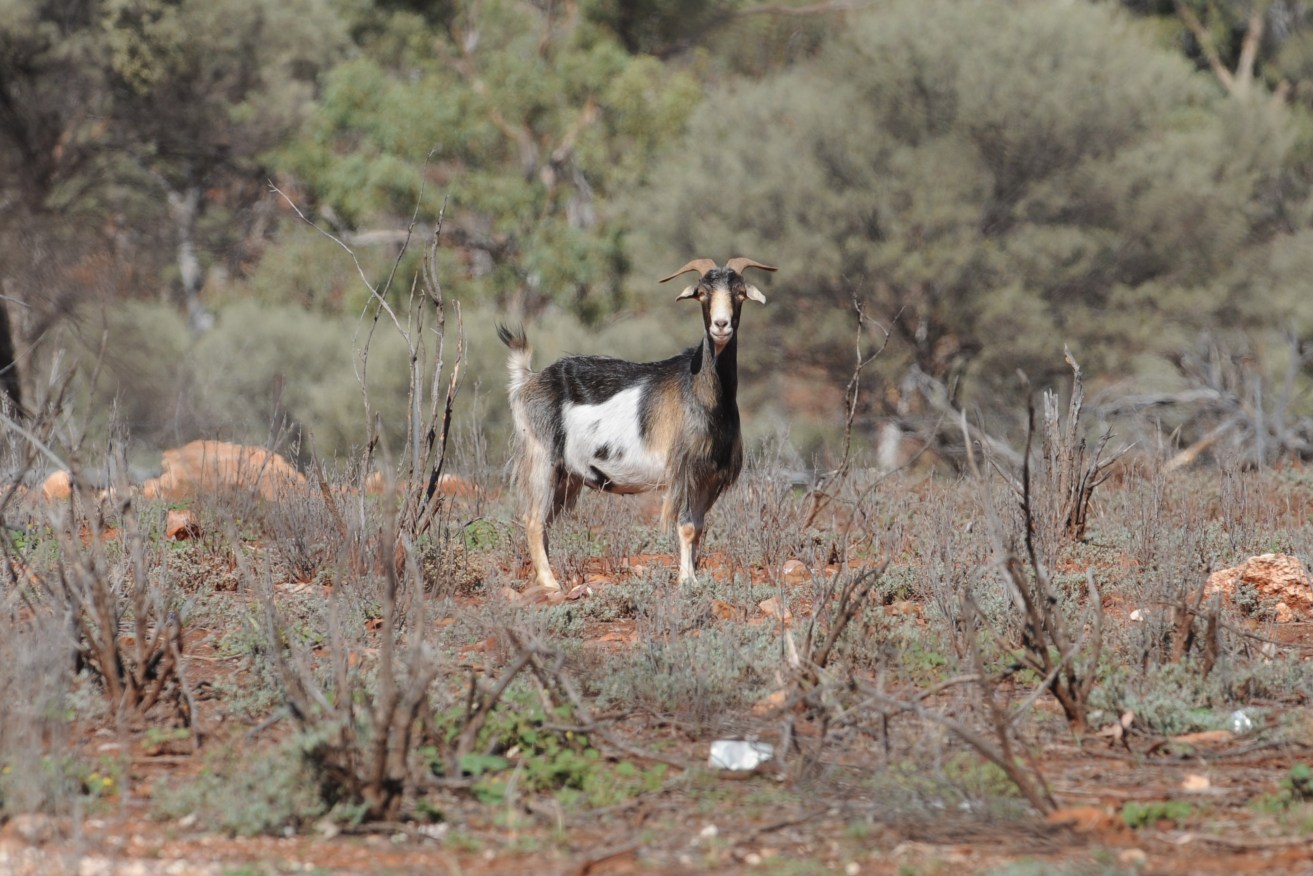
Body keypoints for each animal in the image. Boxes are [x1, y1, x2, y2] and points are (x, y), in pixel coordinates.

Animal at [498, 257, 776, 591]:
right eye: (702, 293)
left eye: (739, 292)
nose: (721, 326)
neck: (701, 392)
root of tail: (527, 380)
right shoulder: (684, 471)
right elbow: (685, 525)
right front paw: (686, 581)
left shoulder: (708, 477)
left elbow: (698, 526)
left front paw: (694, 577)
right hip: (541, 459)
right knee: (533, 519)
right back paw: (551, 584)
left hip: (566, 476)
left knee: (545, 523)